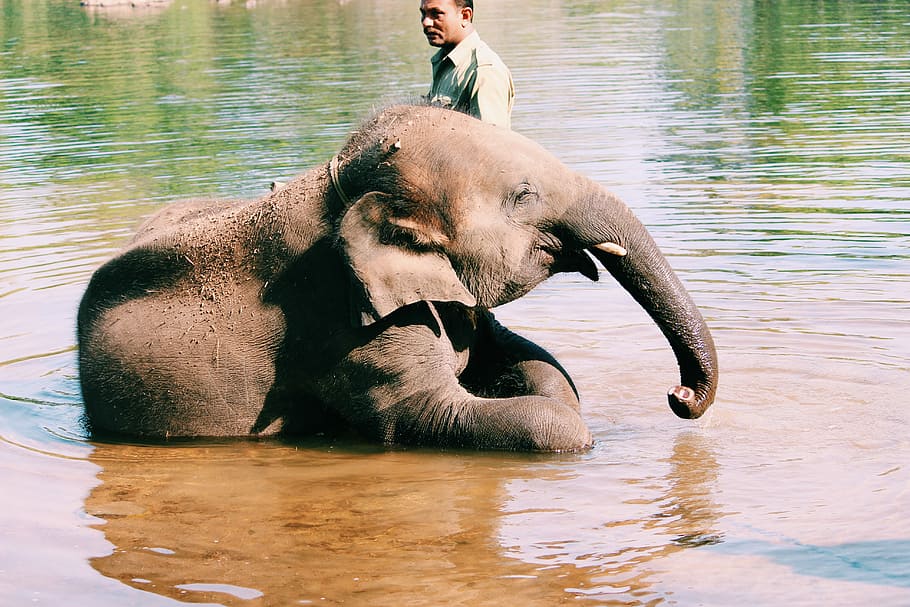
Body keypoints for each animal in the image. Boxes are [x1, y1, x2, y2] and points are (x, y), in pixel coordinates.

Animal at [77, 103, 718, 451]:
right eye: (523, 195)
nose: (678, 396)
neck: (342, 186)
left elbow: (533, 365)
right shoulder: (342, 319)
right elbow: (426, 413)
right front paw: (586, 437)